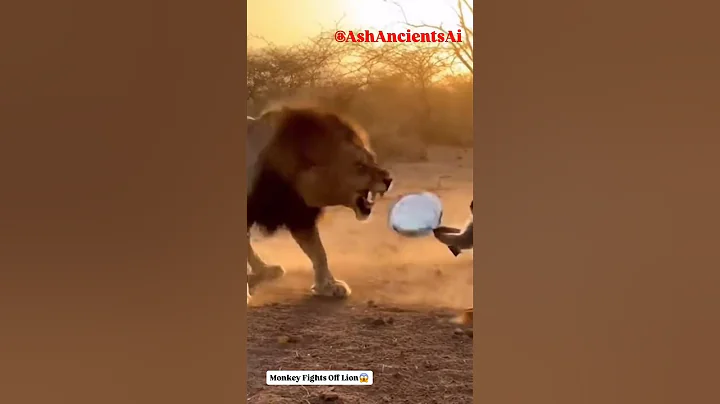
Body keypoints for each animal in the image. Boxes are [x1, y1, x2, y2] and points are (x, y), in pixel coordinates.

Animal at [246, 106, 393, 304]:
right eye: (359, 166)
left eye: (372, 159)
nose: (388, 180)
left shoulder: (300, 214)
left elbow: (319, 252)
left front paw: (329, 286)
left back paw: (265, 269)